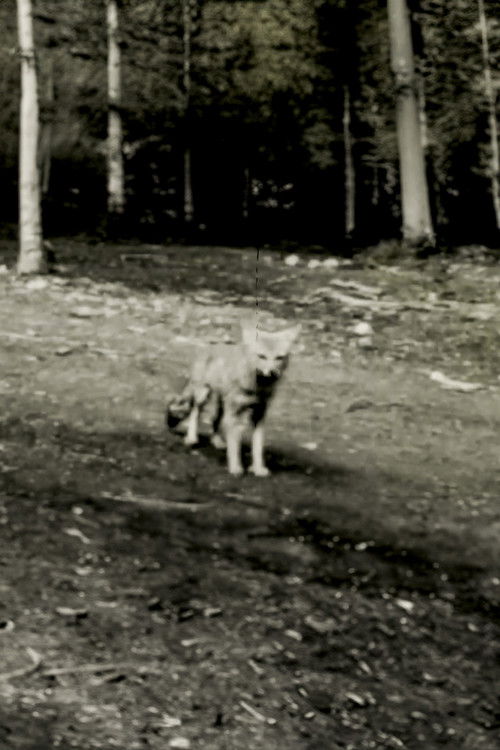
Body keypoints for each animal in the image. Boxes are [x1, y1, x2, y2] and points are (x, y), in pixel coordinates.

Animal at [166, 320, 301, 476]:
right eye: (262, 356)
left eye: (279, 357)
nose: (272, 372)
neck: (257, 389)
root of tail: (209, 346)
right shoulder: (234, 413)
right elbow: (234, 445)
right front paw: (235, 467)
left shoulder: (259, 414)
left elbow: (257, 446)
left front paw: (258, 468)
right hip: (203, 395)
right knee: (195, 411)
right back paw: (192, 438)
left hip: (222, 404)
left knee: (214, 420)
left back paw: (216, 441)